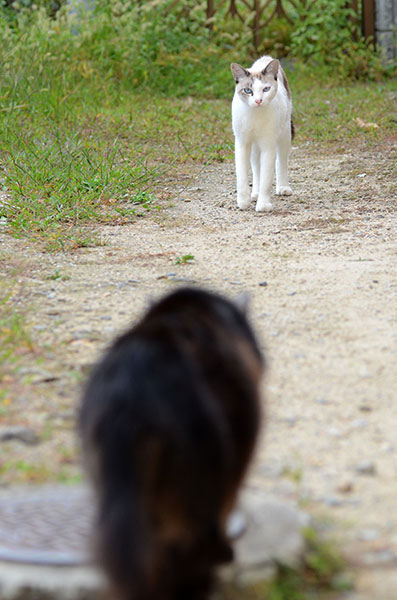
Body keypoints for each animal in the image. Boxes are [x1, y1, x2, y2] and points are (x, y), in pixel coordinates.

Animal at [230, 56, 292, 211]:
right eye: (248, 90)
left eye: (266, 89)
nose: (258, 100)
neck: (255, 115)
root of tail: (266, 58)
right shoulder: (242, 143)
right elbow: (242, 175)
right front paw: (243, 201)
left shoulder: (268, 145)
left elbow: (267, 177)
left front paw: (263, 205)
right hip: (254, 146)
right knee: (256, 168)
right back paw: (255, 193)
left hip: (285, 133)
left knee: (281, 161)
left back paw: (283, 187)